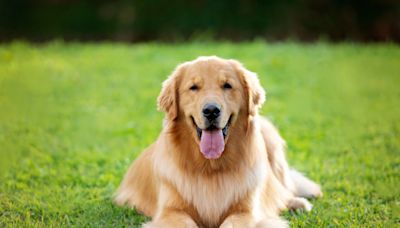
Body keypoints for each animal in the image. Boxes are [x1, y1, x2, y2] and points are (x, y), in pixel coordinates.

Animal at [113, 55, 322, 228]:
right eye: (194, 87)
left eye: (227, 85)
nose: (211, 110)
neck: (211, 169)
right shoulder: (171, 211)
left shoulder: (246, 211)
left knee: (285, 189)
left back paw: (298, 203)